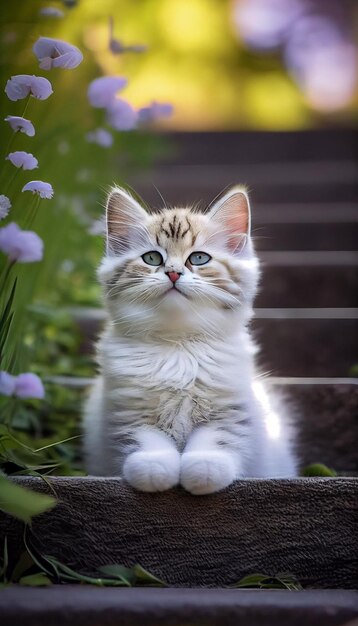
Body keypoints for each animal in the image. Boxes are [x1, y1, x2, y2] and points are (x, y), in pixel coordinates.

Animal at [83, 185, 296, 492]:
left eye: (198, 258)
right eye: (152, 258)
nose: (173, 273)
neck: (178, 345)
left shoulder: (231, 411)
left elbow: (216, 439)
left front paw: (204, 470)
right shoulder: (128, 412)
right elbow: (146, 439)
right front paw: (153, 469)